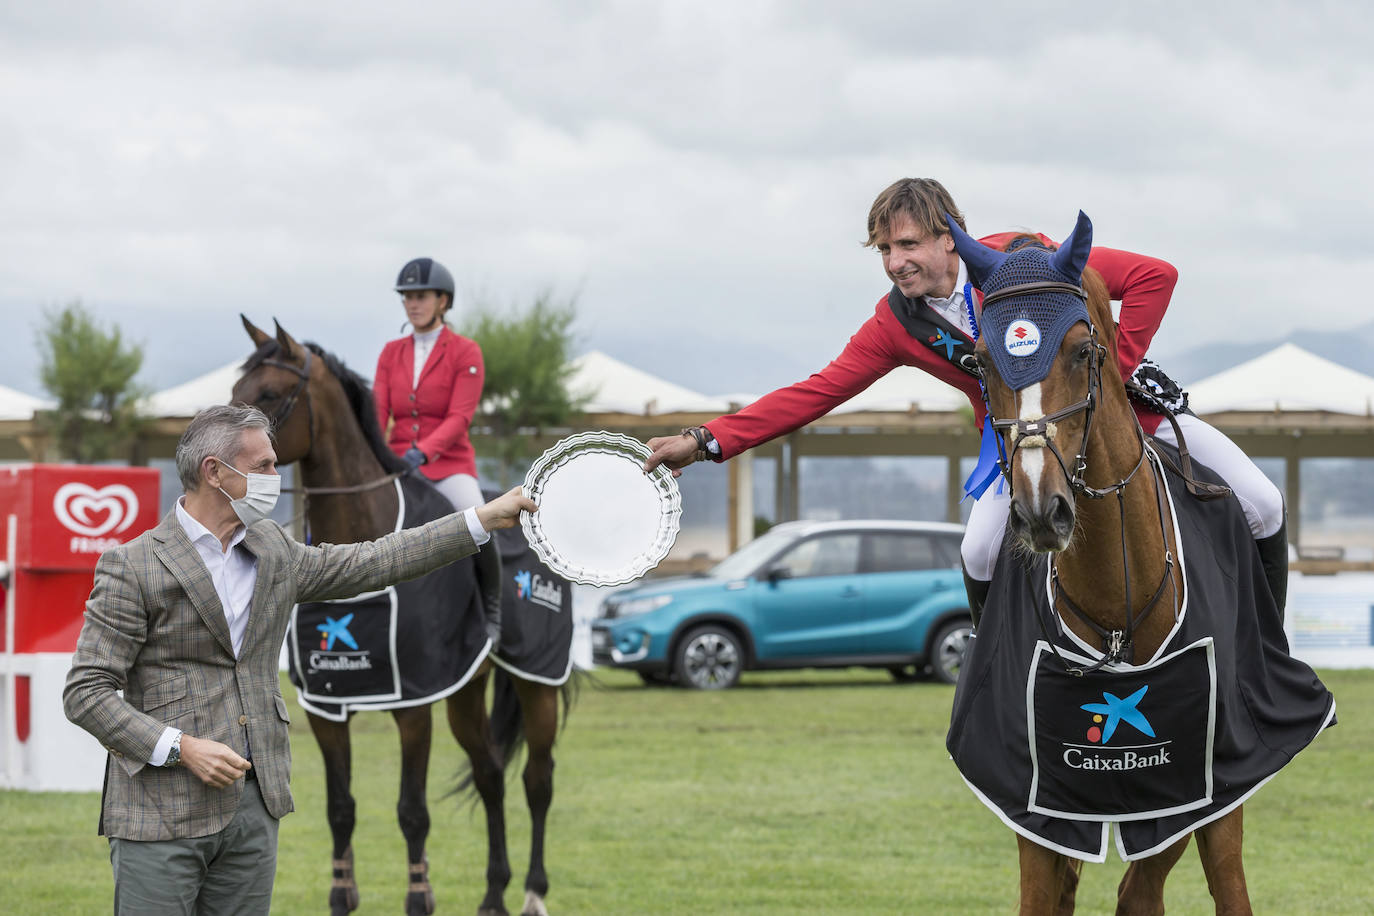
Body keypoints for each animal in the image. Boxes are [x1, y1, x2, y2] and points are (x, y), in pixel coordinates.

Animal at [945, 215, 1330, 916]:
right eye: (980, 360)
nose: (1042, 512)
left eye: (1084, 351)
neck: (1115, 598)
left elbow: (1213, 885)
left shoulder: (1208, 787)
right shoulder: (1037, 806)